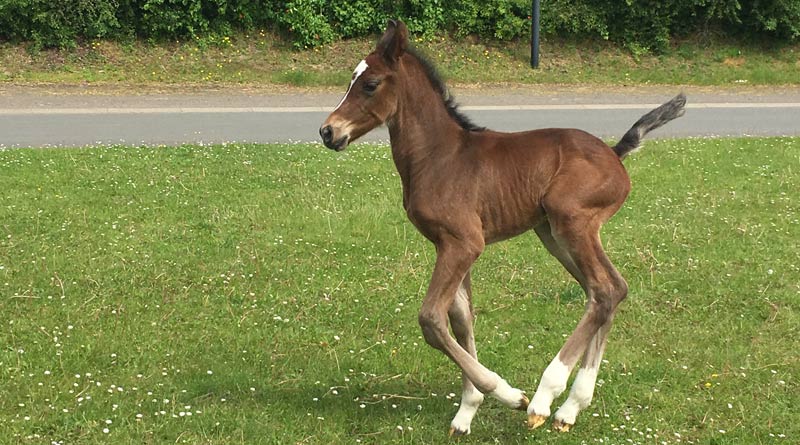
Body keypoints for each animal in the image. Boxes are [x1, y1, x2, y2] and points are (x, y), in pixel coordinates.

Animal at [318, 20, 688, 434]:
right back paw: (570, 408)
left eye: (370, 84)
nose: (328, 132)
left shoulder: (464, 243)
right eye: (352, 80)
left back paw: (544, 399)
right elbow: (460, 319)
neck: (437, 156)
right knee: (607, 290)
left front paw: (507, 393)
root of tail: (615, 153)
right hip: (553, 233)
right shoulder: (448, 245)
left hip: (571, 220)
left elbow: (431, 319)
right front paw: (467, 411)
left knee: (606, 290)